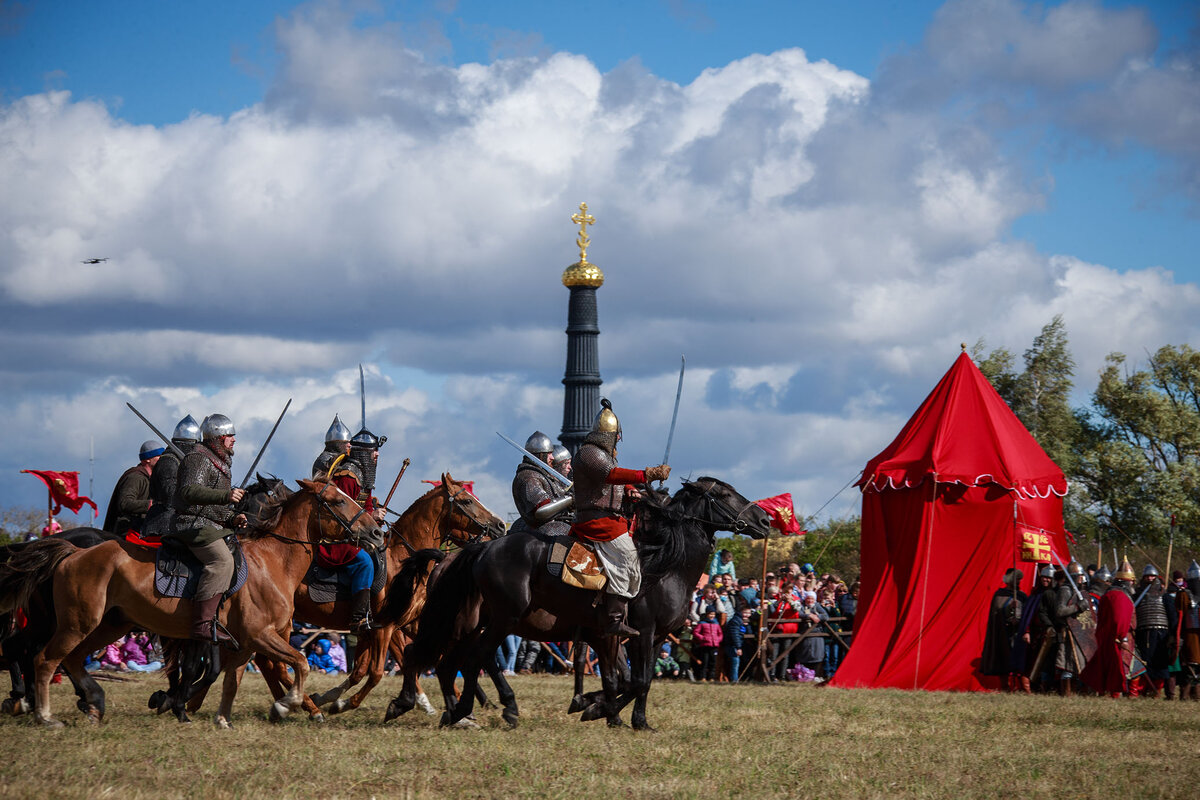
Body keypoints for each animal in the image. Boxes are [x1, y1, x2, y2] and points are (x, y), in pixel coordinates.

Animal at [0, 479, 381, 729]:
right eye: (338, 500)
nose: (377, 532)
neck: (272, 561)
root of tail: (72, 553)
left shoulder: (245, 643)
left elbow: (231, 679)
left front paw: (221, 717)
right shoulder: (261, 636)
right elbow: (300, 662)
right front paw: (286, 706)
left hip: (110, 624)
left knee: (72, 659)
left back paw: (93, 702)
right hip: (76, 624)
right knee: (44, 659)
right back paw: (44, 715)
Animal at [388, 474, 772, 734]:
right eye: (722, 494)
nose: (766, 520)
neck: (663, 566)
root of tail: (483, 549)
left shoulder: (641, 637)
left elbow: (631, 679)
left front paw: (617, 714)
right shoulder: (639, 633)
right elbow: (636, 680)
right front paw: (603, 711)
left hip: (475, 623)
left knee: (448, 662)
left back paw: (452, 711)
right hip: (498, 620)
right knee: (467, 660)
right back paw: (478, 709)